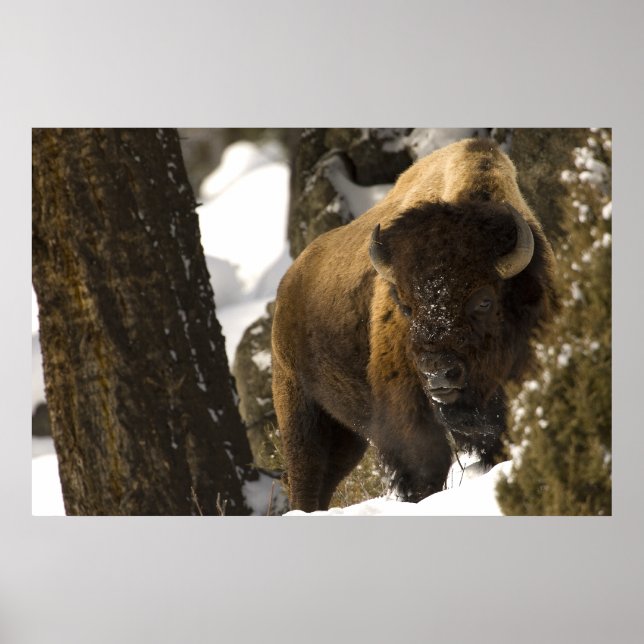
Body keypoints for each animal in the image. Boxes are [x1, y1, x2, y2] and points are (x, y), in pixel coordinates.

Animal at [271, 138, 557, 511]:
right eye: (405, 306)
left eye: (484, 300)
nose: (439, 373)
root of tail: (287, 285)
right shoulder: (409, 414)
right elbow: (423, 468)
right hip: (300, 413)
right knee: (306, 476)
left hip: (347, 436)